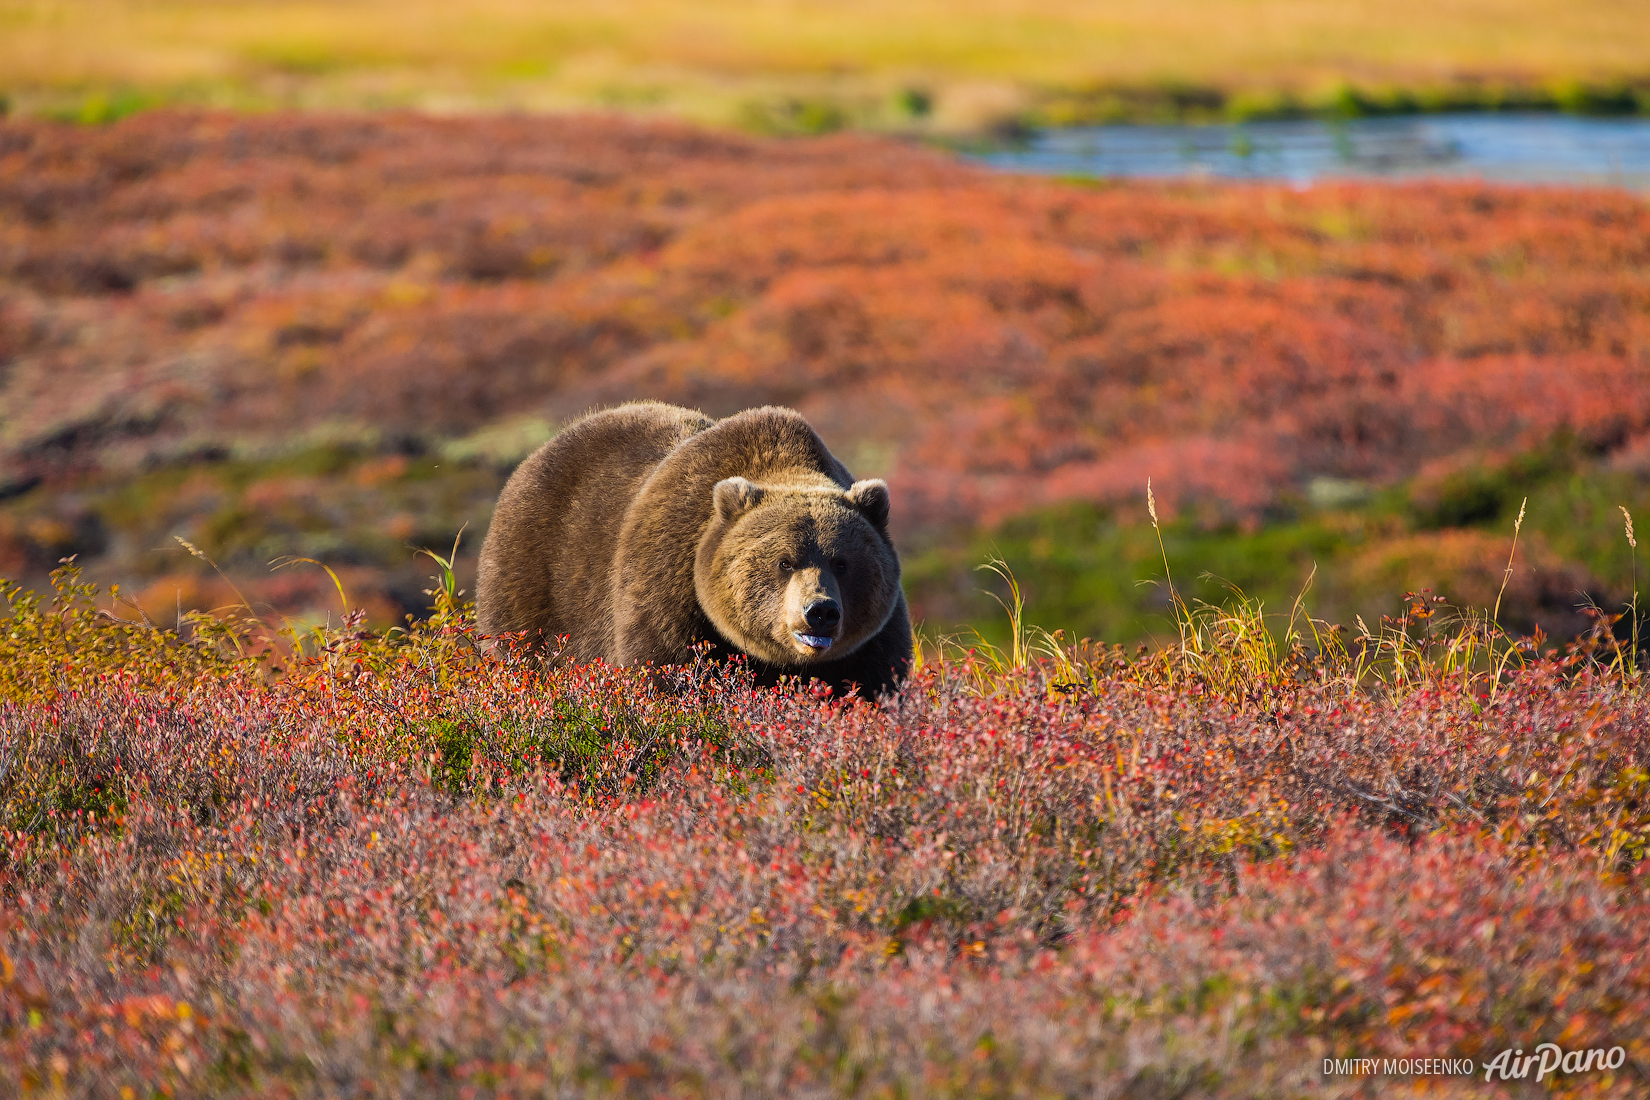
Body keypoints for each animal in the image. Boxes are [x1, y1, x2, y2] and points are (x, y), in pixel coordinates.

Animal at [478, 404, 917, 695]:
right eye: (784, 562)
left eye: (842, 563)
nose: (820, 612)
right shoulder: (669, 589)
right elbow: (666, 675)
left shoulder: (870, 644)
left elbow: (871, 686)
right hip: (535, 584)